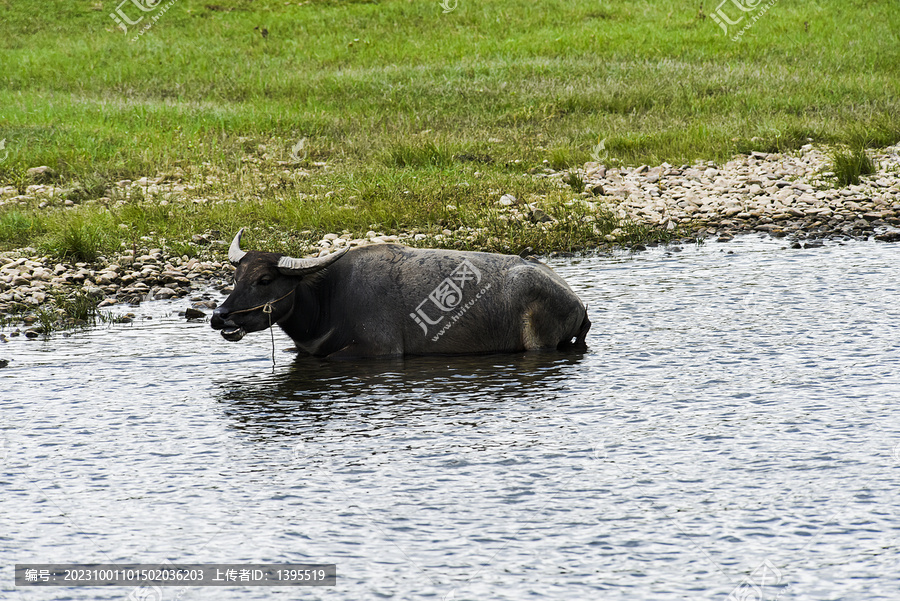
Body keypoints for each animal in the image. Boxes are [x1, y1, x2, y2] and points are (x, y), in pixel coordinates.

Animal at [211, 229, 592, 356]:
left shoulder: (380, 351)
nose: (219, 316)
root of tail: (577, 302)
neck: (327, 302)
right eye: (236, 277)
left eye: (264, 279)